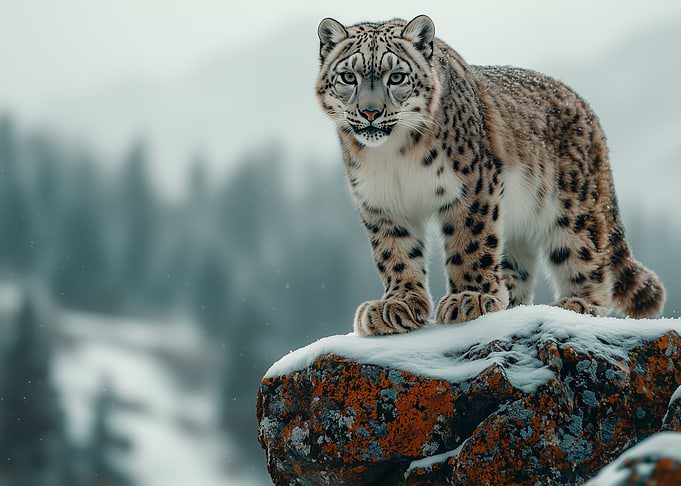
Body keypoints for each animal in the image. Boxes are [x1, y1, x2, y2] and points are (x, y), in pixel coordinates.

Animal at [315, 15, 666, 336]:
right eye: (348, 77)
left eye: (397, 77)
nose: (369, 112)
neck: (394, 156)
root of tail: (587, 109)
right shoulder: (382, 201)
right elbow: (396, 253)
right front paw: (397, 304)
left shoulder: (471, 184)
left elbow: (470, 241)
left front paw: (470, 297)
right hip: (519, 220)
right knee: (517, 262)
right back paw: (510, 297)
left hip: (574, 209)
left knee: (584, 257)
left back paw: (575, 305)